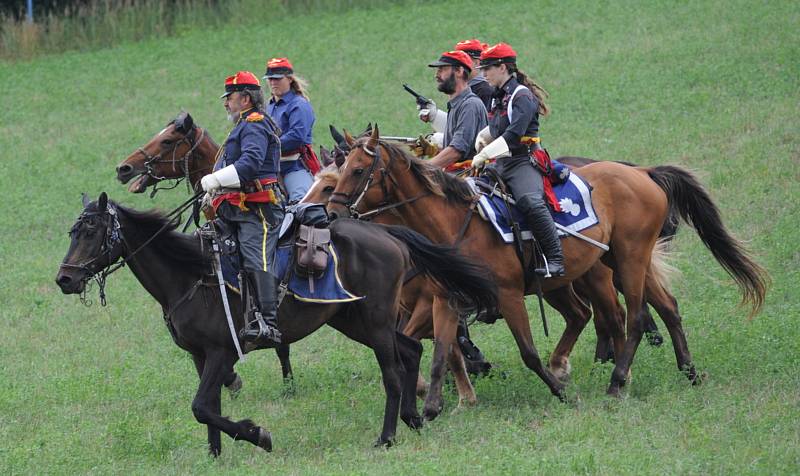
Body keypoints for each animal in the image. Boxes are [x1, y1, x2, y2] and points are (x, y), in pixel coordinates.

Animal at [56, 192, 496, 454]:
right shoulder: (200, 356)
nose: (65, 279)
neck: (190, 274)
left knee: (392, 371)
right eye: (72, 231)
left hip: (374, 321)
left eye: (91, 230)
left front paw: (257, 435)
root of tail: (386, 234)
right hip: (354, 321)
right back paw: (413, 418)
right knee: (412, 349)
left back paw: (387, 436)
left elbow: (201, 406)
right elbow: (209, 407)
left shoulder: (222, 351)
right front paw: (216, 454)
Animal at [326, 125, 768, 398]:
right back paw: (687, 371)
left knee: (632, 317)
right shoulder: (448, 298)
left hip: (625, 261)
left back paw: (616, 381)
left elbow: (525, 351)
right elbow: (438, 352)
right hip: (615, 266)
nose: (330, 214)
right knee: (658, 308)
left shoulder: (504, 295)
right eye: (340, 170)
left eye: (359, 170)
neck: (452, 222)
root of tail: (641, 172)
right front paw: (435, 399)